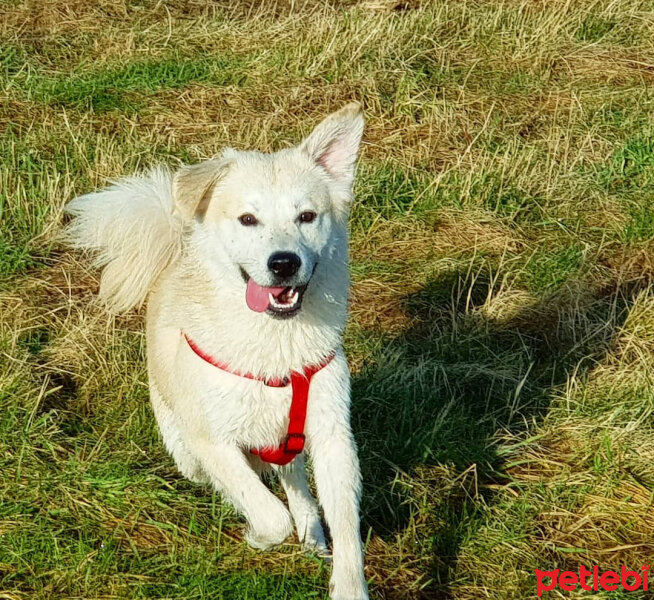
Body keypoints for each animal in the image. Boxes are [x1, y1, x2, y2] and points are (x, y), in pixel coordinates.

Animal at [67, 104, 372, 600]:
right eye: (248, 219)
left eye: (307, 216)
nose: (283, 263)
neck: (273, 349)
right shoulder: (210, 441)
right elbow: (268, 513)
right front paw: (258, 537)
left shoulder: (331, 437)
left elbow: (345, 528)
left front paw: (345, 582)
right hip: (186, 450)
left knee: (294, 478)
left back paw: (311, 533)